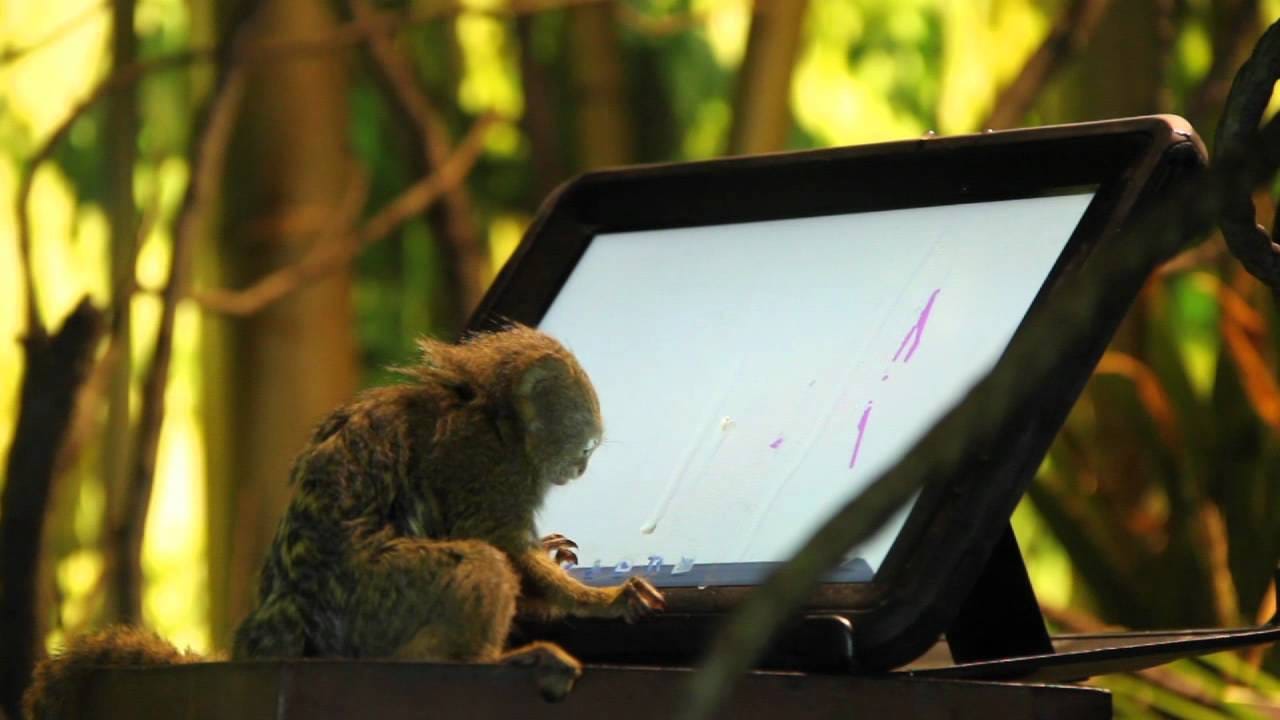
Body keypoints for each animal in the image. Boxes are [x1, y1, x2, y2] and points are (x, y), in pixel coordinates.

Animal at [24, 325, 664, 717]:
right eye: (585, 443)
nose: (583, 463)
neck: (494, 414)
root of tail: (270, 635)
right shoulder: (481, 463)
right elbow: (495, 542)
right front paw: (602, 600)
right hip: (369, 606)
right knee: (478, 563)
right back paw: (496, 662)